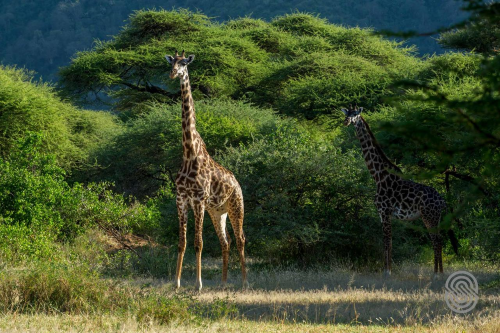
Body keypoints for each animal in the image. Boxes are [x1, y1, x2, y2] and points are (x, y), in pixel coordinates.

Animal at [166, 50, 248, 290]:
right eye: (171, 62)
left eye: (184, 63)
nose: (173, 74)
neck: (189, 152)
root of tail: (237, 183)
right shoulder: (181, 199)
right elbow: (182, 242)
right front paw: (176, 283)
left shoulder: (199, 200)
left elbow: (198, 242)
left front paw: (198, 284)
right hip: (217, 212)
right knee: (226, 241)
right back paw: (223, 282)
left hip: (236, 206)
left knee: (240, 239)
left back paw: (244, 282)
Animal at [342, 105, 458, 276]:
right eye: (347, 114)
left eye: (356, 114)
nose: (346, 121)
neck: (378, 176)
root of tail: (442, 201)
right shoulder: (382, 213)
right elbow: (388, 242)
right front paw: (387, 270)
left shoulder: (385, 211)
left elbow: (387, 242)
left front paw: (387, 272)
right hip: (435, 217)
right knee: (437, 240)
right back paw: (438, 272)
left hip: (429, 216)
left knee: (436, 240)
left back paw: (437, 274)